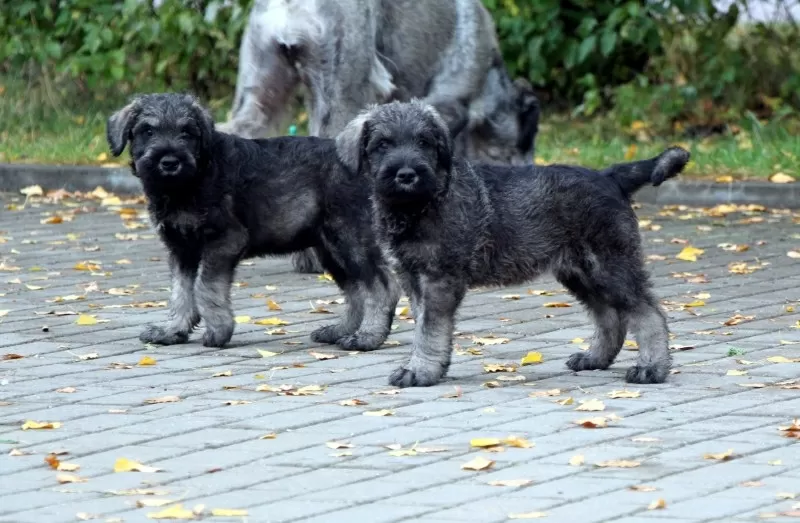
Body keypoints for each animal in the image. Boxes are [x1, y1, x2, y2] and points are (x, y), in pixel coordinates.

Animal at [106, 93, 400, 352]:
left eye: (187, 132)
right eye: (147, 131)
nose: (169, 162)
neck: (189, 181)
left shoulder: (224, 240)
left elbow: (205, 287)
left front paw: (219, 330)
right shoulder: (181, 249)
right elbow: (180, 291)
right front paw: (173, 330)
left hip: (351, 241)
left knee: (382, 288)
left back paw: (367, 337)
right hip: (330, 248)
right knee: (356, 291)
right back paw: (341, 331)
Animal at [334, 101, 692, 388]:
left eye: (424, 142)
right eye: (382, 144)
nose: (407, 174)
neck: (420, 204)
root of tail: (610, 177)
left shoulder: (438, 279)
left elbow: (429, 329)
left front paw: (419, 372)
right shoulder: (414, 280)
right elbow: (428, 328)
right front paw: (429, 367)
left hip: (611, 265)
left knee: (648, 313)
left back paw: (651, 368)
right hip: (581, 272)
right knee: (609, 316)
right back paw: (595, 358)